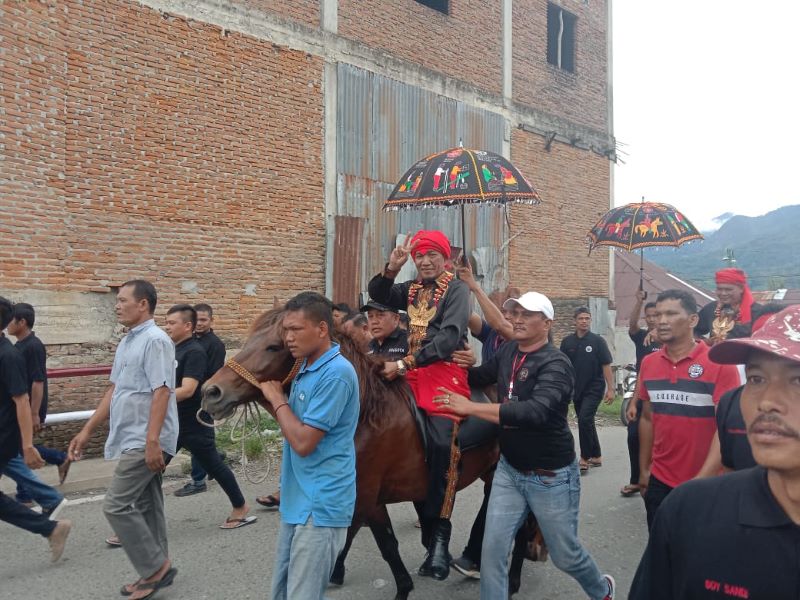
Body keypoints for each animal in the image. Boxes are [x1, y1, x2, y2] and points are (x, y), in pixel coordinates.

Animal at [200, 310, 528, 600]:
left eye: (275, 346)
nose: (211, 392)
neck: (367, 413)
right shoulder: (358, 495)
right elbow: (360, 534)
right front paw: (337, 571)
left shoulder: (367, 495)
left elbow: (384, 544)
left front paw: (402, 588)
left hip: (498, 473)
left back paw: (503, 578)